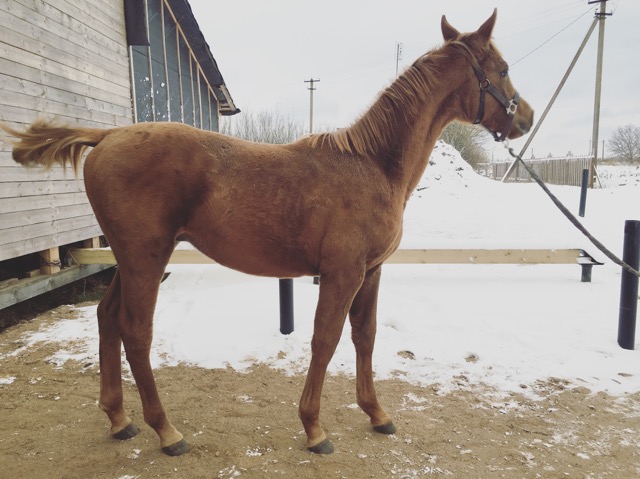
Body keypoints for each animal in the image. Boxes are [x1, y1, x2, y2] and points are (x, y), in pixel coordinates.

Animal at [1, 9, 533, 456]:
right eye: (503, 68)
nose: (524, 117)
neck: (372, 164)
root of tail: (108, 135)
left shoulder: (372, 272)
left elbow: (365, 336)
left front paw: (377, 414)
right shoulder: (342, 274)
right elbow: (325, 340)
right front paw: (314, 428)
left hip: (129, 262)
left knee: (107, 318)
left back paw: (119, 420)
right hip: (146, 260)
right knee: (135, 332)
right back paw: (166, 432)